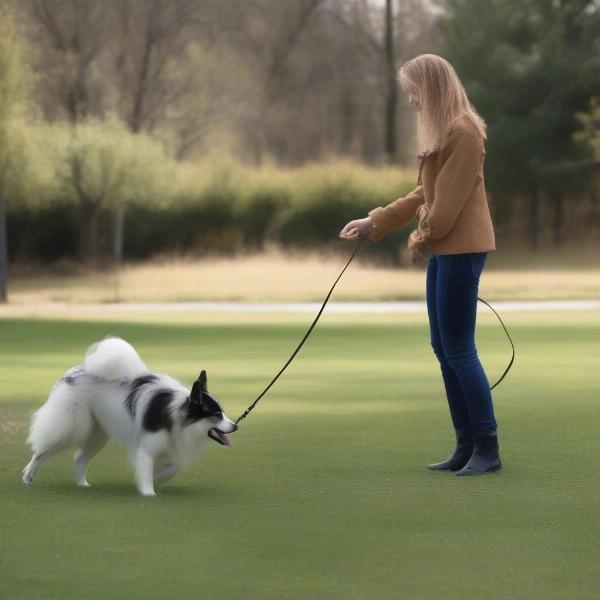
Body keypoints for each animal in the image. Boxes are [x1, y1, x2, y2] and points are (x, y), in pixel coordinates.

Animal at [21, 338, 237, 496]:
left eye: (223, 412)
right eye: (216, 415)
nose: (235, 426)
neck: (177, 412)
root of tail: (77, 371)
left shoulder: (171, 446)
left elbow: (170, 468)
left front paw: (152, 480)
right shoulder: (147, 447)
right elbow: (147, 469)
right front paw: (148, 492)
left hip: (98, 435)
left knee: (79, 457)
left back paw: (83, 485)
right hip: (71, 427)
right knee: (41, 451)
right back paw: (27, 476)